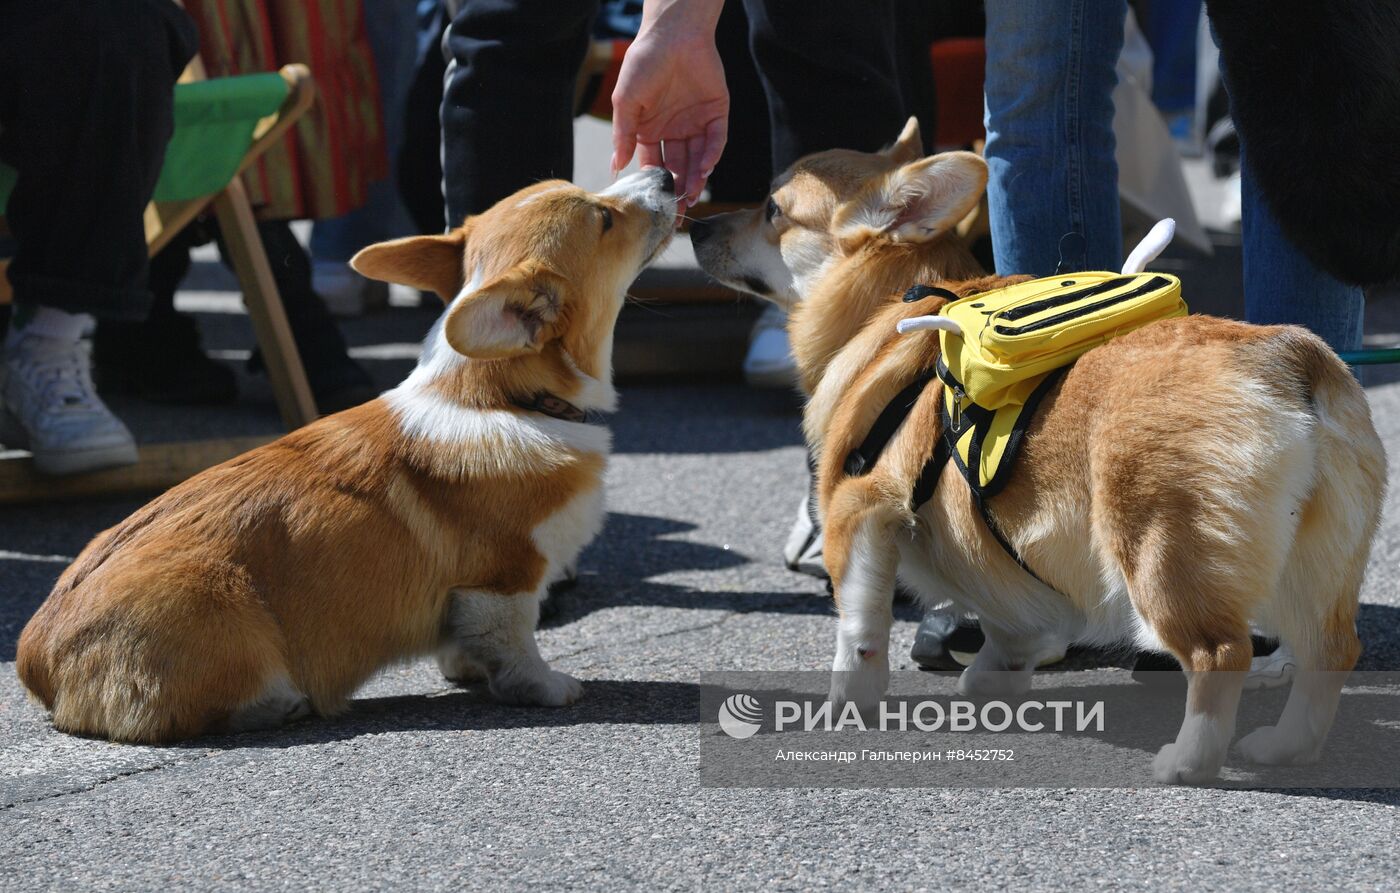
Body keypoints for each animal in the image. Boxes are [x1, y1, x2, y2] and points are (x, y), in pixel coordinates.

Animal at [15, 169, 677, 750]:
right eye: (602, 218)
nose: (667, 174)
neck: (500, 394)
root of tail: (35, 660)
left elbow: (466, 639)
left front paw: (465, 669)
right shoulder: (505, 575)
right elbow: (517, 645)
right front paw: (547, 687)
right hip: (215, 604)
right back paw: (279, 703)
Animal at [691, 122, 1388, 789]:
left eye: (772, 210)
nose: (693, 222)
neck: (893, 305)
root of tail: (1286, 358)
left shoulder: (857, 510)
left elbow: (858, 628)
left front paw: (847, 703)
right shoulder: (1000, 555)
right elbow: (1010, 624)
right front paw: (990, 679)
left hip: (1161, 552)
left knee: (1219, 655)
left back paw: (1188, 761)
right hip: (1315, 559)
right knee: (1331, 650)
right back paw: (1284, 745)